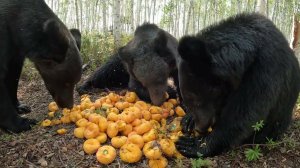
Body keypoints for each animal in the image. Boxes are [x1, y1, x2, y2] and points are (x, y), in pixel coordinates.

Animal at [0, 0, 82, 133]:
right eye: (66, 83)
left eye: (75, 82)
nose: (69, 105)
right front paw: (22, 123)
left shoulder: (15, 52)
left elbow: (12, 76)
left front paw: (20, 106)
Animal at [175, 13, 300, 158]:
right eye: (189, 102)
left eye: (197, 100)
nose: (200, 128)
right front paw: (188, 120)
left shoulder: (266, 68)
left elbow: (246, 112)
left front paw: (196, 145)